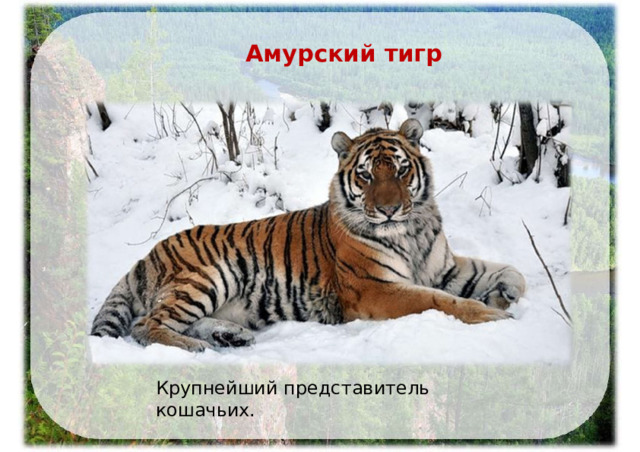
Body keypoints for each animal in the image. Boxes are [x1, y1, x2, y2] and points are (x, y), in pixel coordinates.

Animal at [91, 119, 526, 352]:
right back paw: (195, 347)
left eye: (402, 170)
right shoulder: (376, 288)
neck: (411, 232)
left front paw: (506, 293)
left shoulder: (442, 268)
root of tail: (146, 255)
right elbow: (440, 301)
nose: (388, 209)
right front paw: (493, 314)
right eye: (366, 175)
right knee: (145, 324)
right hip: (210, 275)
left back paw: (230, 335)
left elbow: (506, 271)